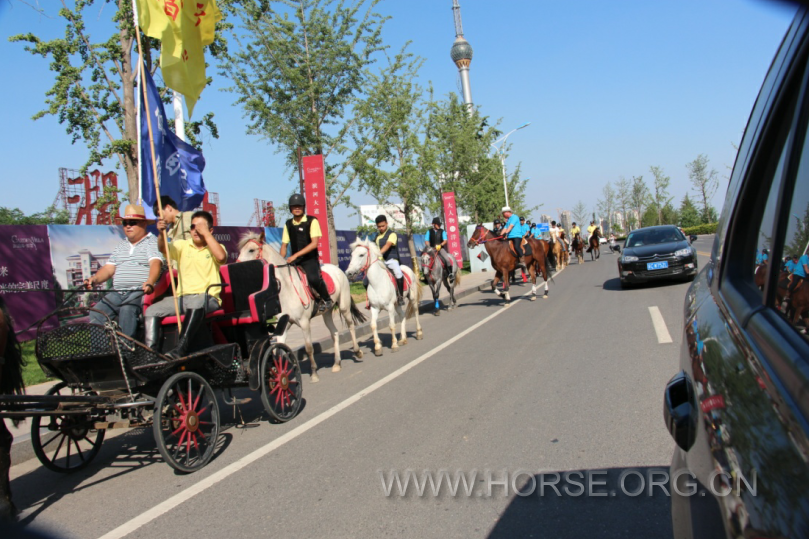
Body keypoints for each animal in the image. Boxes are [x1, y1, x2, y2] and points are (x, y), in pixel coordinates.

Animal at [237, 233, 366, 384]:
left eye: (251, 250)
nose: (236, 265)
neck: (286, 288)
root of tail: (337, 269)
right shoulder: (284, 324)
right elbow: (278, 349)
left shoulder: (304, 322)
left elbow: (309, 348)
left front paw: (314, 373)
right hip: (327, 313)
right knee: (334, 333)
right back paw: (337, 363)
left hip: (344, 305)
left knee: (351, 325)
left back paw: (357, 352)